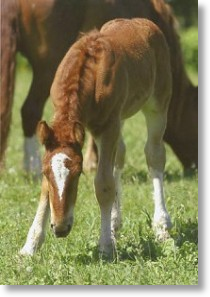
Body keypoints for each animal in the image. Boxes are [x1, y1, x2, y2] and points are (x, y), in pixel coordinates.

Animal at [20, 18, 172, 256]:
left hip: (157, 104)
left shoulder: (108, 126)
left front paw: (106, 246)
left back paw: (162, 227)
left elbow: (103, 184)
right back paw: (114, 223)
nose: (60, 228)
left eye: (78, 173)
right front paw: (30, 245)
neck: (91, 77)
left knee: (154, 155)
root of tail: (144, 22)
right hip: (121, 117)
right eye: (45, 172)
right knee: (120, 155)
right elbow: (45, 189)